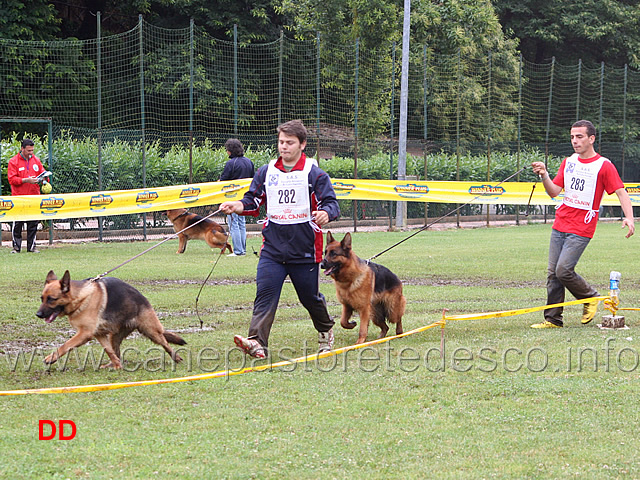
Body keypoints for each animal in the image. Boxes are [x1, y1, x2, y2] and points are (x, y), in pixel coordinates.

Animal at [36, 272, 185, 370]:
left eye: (51, 299)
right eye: (42, 298)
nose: (38, 314)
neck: (80, 297)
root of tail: (143, 298)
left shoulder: (84, 333)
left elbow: (65, 345)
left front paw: (51, 358)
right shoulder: (99, 334)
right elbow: (109, 351)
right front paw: (118, 366)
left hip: (151, 331)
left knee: (165, 343)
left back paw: (176, 358)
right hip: (114, 336)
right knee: (116, 351)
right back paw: (112, 364)